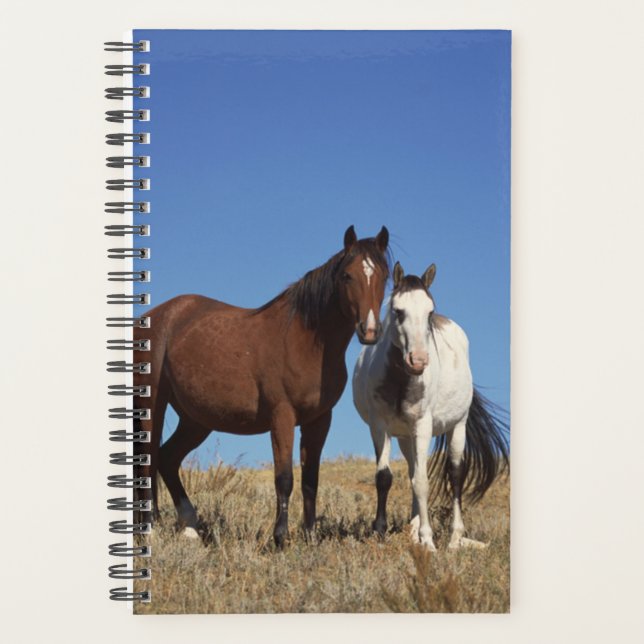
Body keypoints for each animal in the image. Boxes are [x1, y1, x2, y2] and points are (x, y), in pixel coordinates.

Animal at [133, 225, 390, 547]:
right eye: (347, 275)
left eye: (384, 275)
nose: (370, 331)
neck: (304, 340)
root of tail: (152, 318)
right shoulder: (282, 416)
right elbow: (284, 478)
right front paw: (280, 538)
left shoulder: (319, 420)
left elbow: (310, 479)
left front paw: (310, 536)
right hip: (153, 404)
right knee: (149, 459)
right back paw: (150, 529)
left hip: (196, 420)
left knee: (167, 459)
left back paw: (190, 526)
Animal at [352, 261, 509, 550]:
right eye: (397, 311)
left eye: (429, 311)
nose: (418, 360)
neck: (400, 380)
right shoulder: (379, 427)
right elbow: (385, 477)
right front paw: (381, 532)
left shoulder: (423, 425)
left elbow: (423, 482)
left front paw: (429, 540)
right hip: (406, 437)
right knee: (414, 469)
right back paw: (413, 531)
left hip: (457, 426)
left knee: (455, 474)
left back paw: (454, 538)